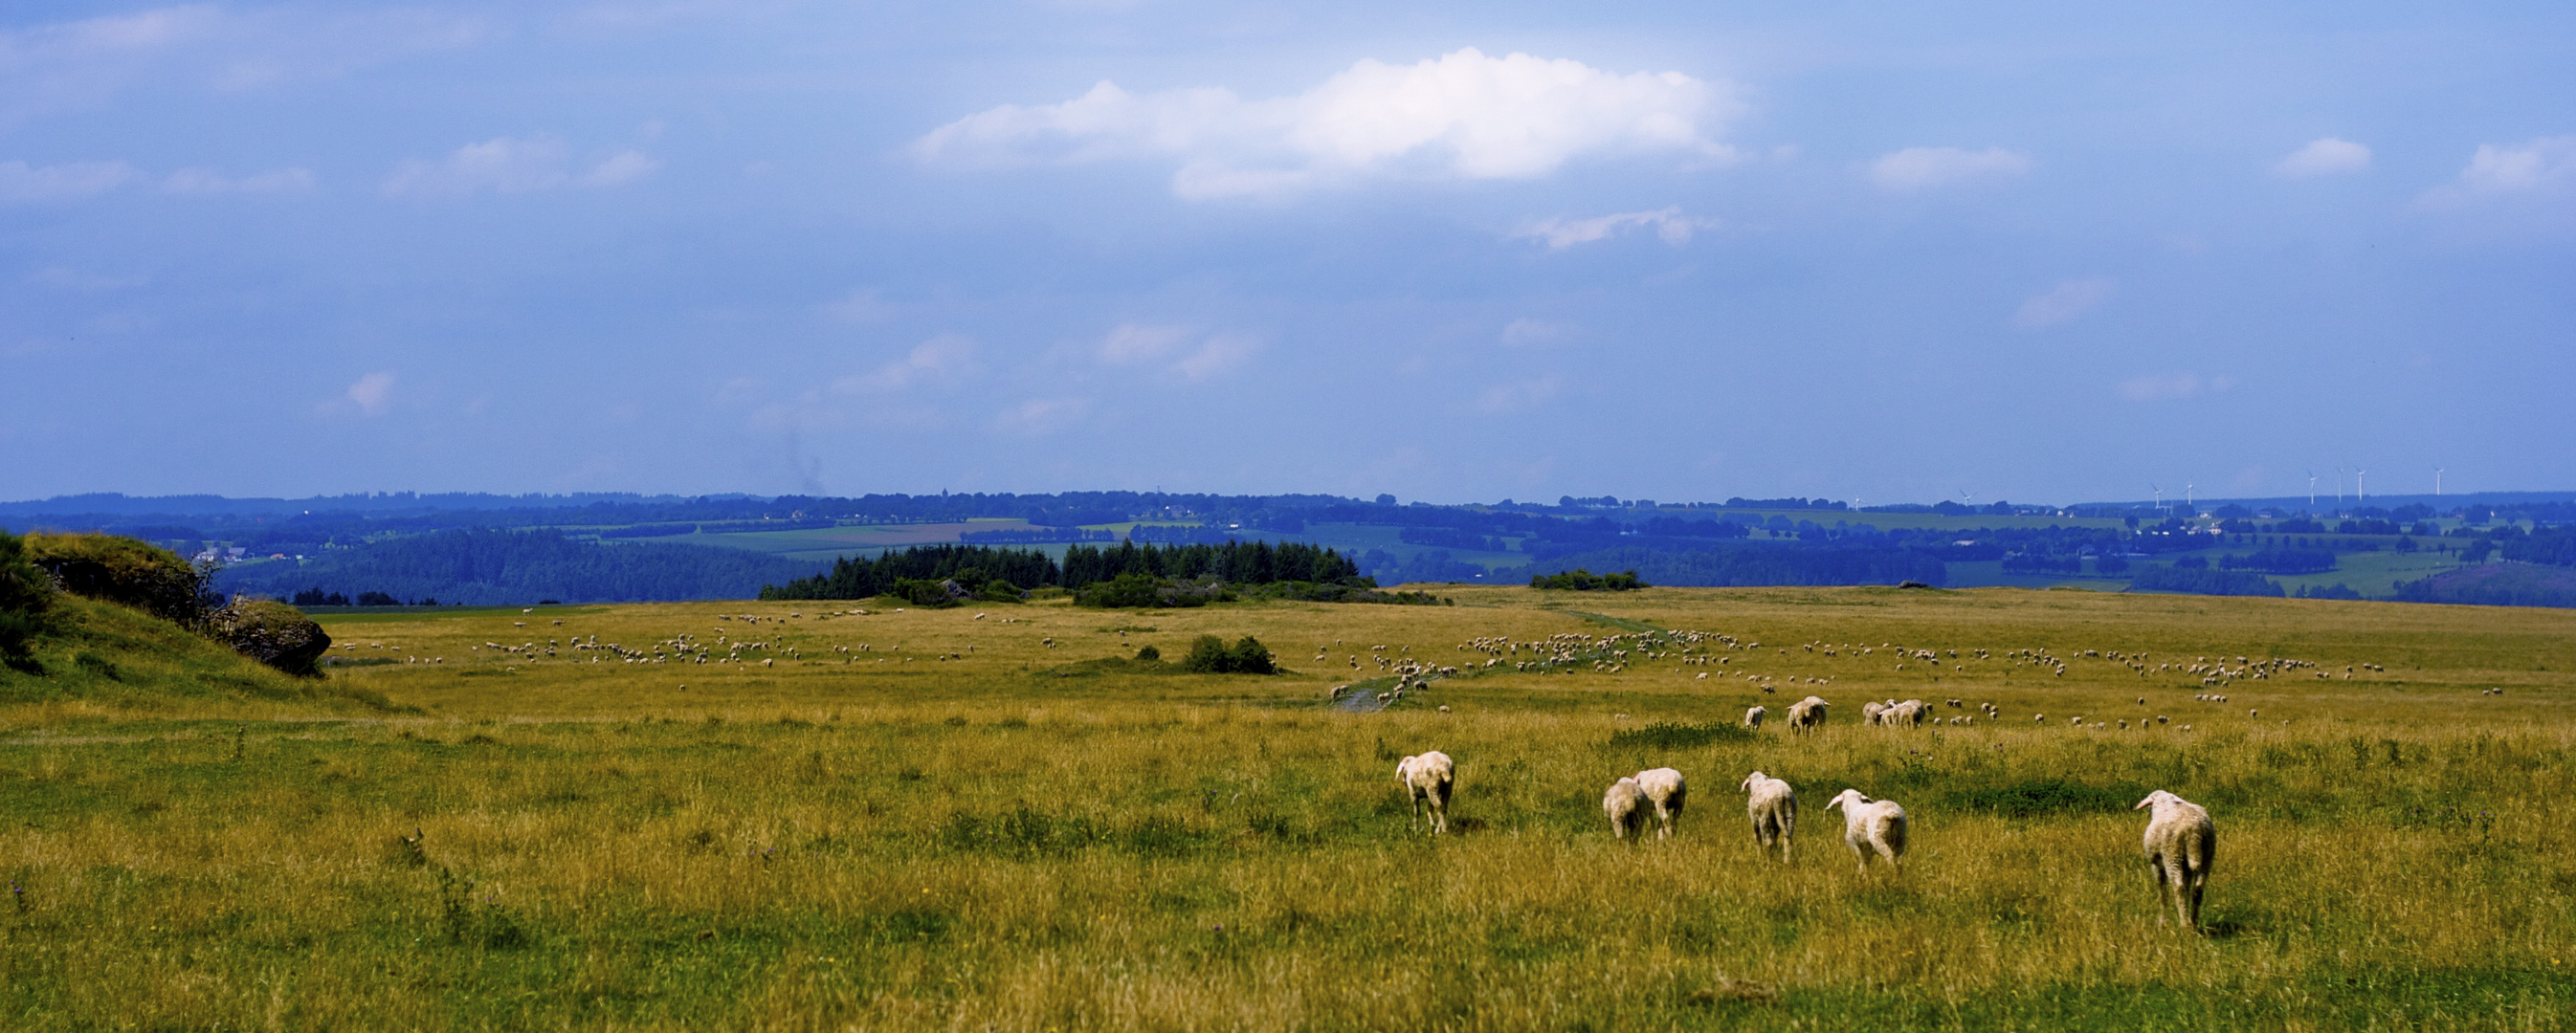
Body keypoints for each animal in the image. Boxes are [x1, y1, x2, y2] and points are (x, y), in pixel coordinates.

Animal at [2132, 793, 2215, 927]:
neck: (2164, 803)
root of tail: (2194, 830)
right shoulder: (2187, 869)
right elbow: (2187, 887)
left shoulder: (2156, 865)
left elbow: (2162, 891)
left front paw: (2162, 922)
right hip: (2207, 855)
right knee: (2198, 889)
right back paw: (2192, 922)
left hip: (2172, 855)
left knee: (2178, 887)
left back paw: (2184, 924)